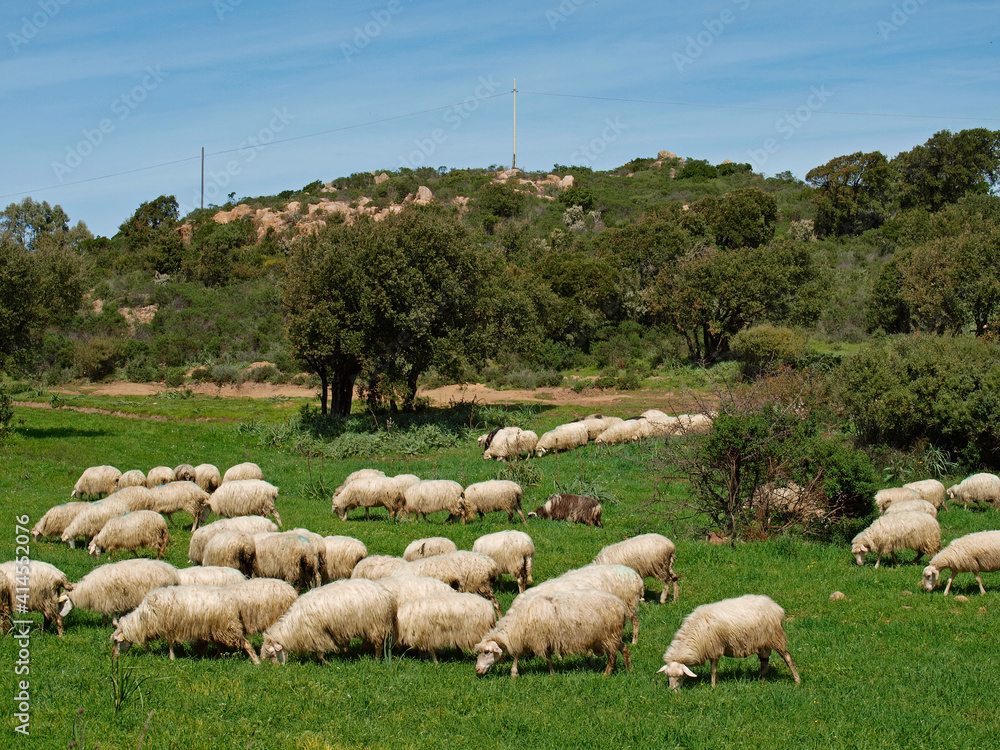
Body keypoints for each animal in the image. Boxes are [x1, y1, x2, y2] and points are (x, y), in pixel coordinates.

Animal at [111, 584, 259, 663]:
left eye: (116, 642)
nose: (114, 657)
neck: (143, 618)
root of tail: (234, 599)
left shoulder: (167, 626)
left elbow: (170, 643)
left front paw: (171, 658)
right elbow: (149, 644)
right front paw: (149, 653)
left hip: (228, 626)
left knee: (245, 643)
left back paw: (256, 661)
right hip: (218, 629)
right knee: (222, 646)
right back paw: (216, 659)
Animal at [260, 579, 396, 663]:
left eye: (272, 654)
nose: (277, 668)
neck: (293, 625)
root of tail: (386, 594)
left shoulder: (318, 634)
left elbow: (320, 651)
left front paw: (326, 663)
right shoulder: (311, 636)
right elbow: (314, 651)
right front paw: (314, 660)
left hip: (376, 624)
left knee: (378, 643)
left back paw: (376, 659)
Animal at [474, 589, 631, 678]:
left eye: (487, 652)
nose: (477, 670)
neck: (516, 624)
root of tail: (621, 605)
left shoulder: (534, 638)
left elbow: (517, 655)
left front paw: (514, 673)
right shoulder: (545, 639)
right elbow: (549, 657)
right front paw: (552, 673)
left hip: (608, 635)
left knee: (613, 655)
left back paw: (606, 674)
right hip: (613, 635)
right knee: (625, 649)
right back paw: (628, 670)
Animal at [657, 594, 800, 689]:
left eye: (680, 675)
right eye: (668, 676)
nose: (672, 691)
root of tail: (776, 607)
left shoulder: (714, 648)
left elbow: (713, 670)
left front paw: (713, 686)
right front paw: (716, 682)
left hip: (775, 637)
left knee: (787, 657)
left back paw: (797, 680)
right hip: (762, 642)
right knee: (764, 661)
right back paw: (762, 681)